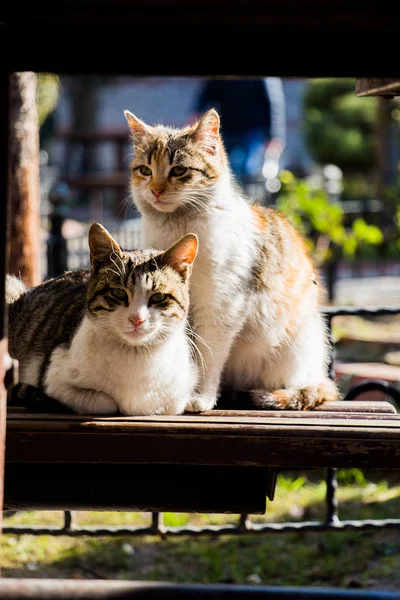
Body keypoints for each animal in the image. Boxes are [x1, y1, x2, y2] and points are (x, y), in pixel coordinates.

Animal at [6, 223, 198, 414]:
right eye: (118, 293)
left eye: (158, 297)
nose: (136, 319)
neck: (135, 356)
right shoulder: (55, 379)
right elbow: (107, 402)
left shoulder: (179, 393)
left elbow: (171, 404)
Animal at [124, 108, 338, 410]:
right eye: (145, 170)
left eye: (179, 170)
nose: (155, 189)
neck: (177, 225)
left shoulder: (221, 305)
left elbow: (207, 354)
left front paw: (199, 397)